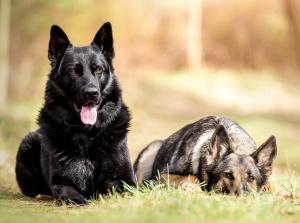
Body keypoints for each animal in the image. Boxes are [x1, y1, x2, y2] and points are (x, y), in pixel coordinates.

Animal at [15, 22, 135, 204]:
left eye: (98, 70)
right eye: (73, 71)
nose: (92, 93)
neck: (87, 133)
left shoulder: (127, 181)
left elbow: (114, 188)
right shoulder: (61, 182)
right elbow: (71, 194)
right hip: (28, 142)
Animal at [135, 116, 278, 196]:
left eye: (251, 178)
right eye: (227, 175)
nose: (244, 198)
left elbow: (272, 186)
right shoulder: (163, 175)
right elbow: (192, 178)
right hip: (151, 149)